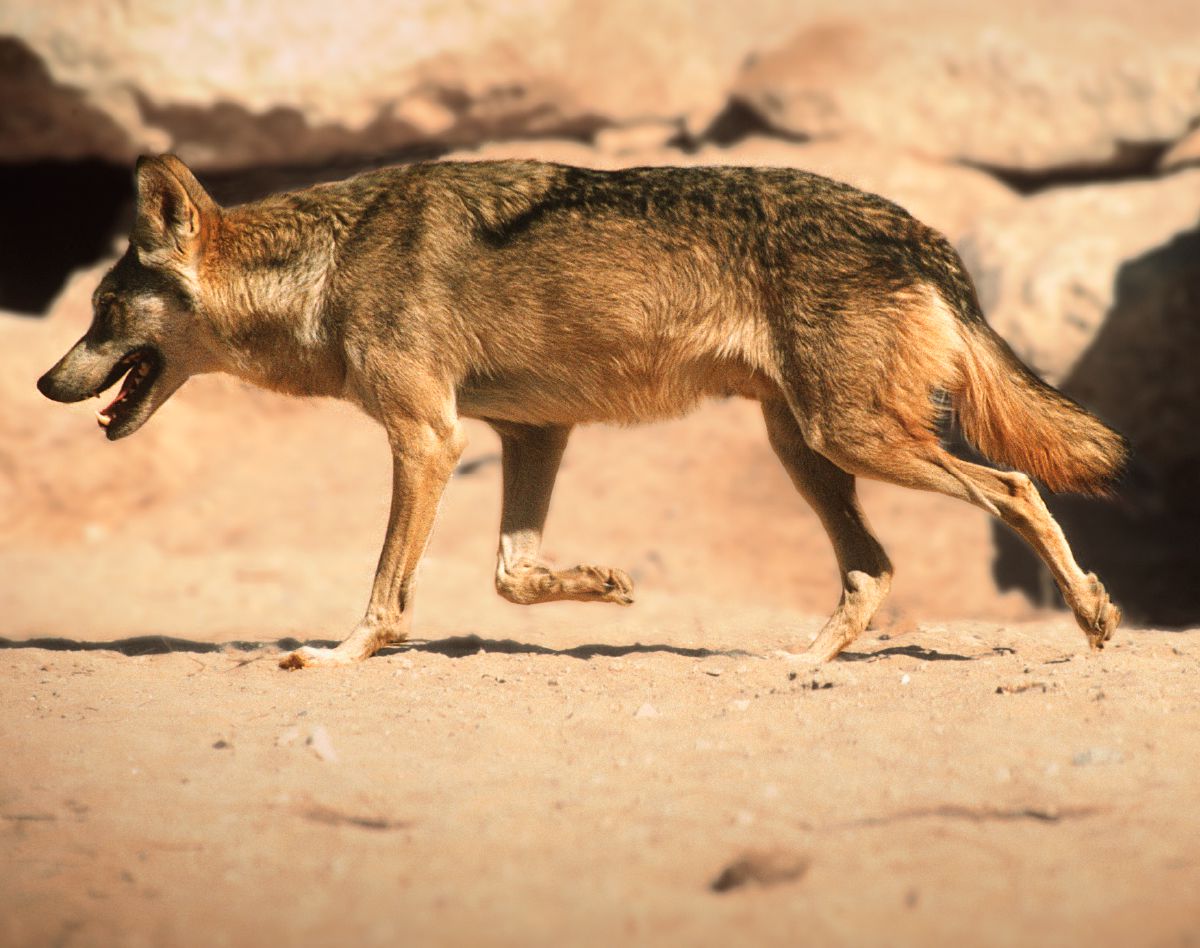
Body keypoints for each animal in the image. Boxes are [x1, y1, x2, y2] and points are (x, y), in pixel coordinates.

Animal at [36, 154, 1127, 668]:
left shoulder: (427, 439)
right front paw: (601, 583)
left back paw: (1092, 615)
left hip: (852, 440)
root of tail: (920, 230)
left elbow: (388, 594)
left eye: (100, 310)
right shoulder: (530, 433)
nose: (45, 384)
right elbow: (513, 575)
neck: (330, 266)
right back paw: (793, 664)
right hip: (810, 448)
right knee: (873, 569)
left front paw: (338, 657)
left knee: (1015, 488)